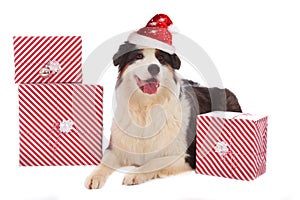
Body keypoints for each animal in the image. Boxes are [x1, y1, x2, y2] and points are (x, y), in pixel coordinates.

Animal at [84, 41, 241, 189]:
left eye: (161, 58)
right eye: (138, 56)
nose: (154, 68)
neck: (146, 109)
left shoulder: (186, 156)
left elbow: (153, 162)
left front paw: (135, 174)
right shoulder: (116, 148)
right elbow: (104, 163)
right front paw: (94, 176)